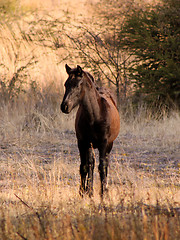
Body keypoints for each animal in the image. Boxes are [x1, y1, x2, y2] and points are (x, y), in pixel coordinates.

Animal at [60, 64, 119, 197]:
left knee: (105, 164)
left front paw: (103, 193)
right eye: (66, 84)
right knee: (91, 163)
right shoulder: (83, 142)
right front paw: (84, 191)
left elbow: (102, 167)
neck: (95, 116)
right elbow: (85, 166)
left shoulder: (103, 143)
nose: (64, 106)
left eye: (77, 85)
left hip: (109, 145)